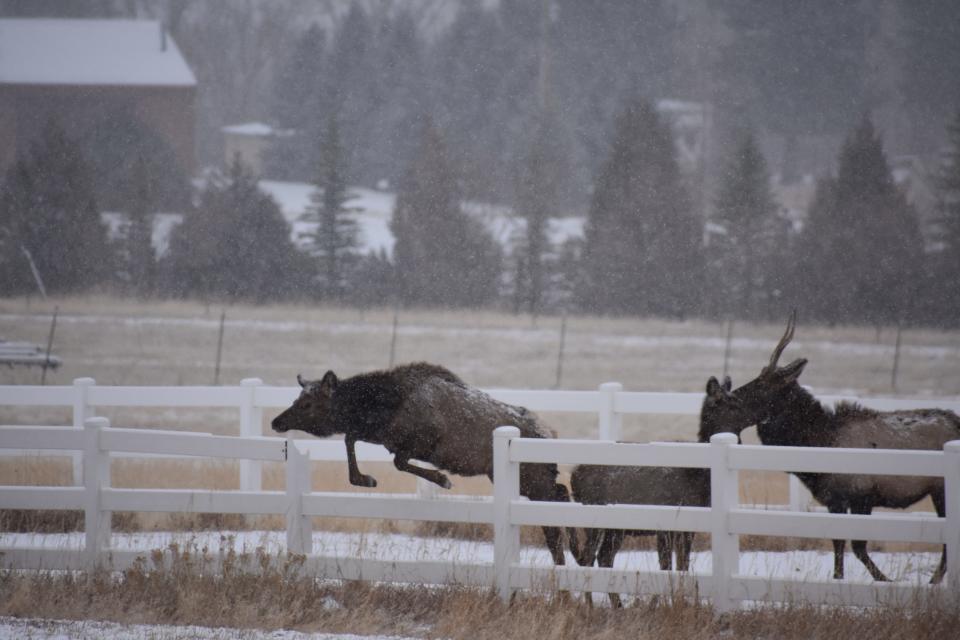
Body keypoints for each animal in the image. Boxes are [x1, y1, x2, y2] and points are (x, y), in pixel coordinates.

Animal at [270, 362, 572, 568]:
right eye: (296, 398)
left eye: (308, 404)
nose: (276, 421)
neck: (383, 410)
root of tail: (550, 433)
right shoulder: (379, 436)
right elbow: (350, 438)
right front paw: (365, 478)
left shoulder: (421, 442)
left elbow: (398, 461)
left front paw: (442, 479)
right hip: (517, 476)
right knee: (562, 495)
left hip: (532, 477)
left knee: (553, 519)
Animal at [568, 378, 744, 608]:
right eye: (727, 405)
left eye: (739, 403)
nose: (739, 440)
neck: (697, 475)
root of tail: (573, 474)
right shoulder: (665, 522)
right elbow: (666, 565)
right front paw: (660, 604)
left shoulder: (688, 526)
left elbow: (682, 565)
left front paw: (680, 602)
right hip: (594, 516)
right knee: (589, 557)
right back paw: (590, 605)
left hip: (616, 526)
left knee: (604, 557)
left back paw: (617, 605)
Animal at [716, 312, 956, 584]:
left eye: (764, 384)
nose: (730, 397)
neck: (820, 441)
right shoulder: (834, 499)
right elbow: (839, 542)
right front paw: (840, 578)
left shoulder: (861, 495)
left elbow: (857, 546)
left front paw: (885, 580)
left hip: (940, 490)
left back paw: (933, 581)